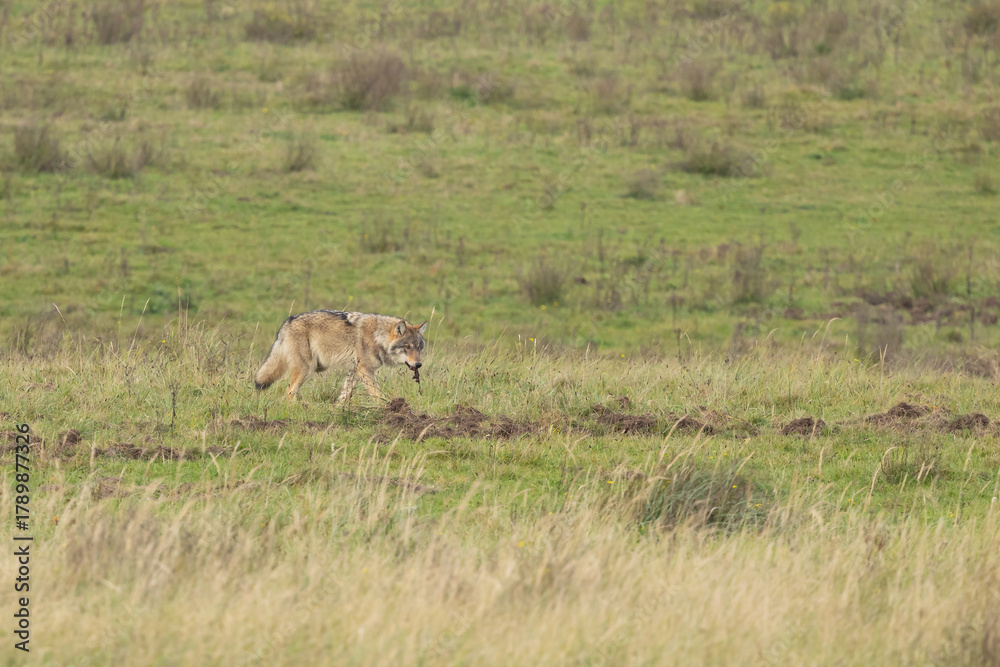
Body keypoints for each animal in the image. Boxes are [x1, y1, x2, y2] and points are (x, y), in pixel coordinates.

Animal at [254, 310, 427, 403]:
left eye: (419, 348)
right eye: (407, 347)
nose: (418, 365)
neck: (378, 337)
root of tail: (288, 321)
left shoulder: (355, 370)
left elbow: (345, 394)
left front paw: (337, 408)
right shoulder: (365, 370)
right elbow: (377, 394)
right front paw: (385, 407)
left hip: (313, 368)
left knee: (294, 389)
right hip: (307, 369)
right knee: (289, 391)